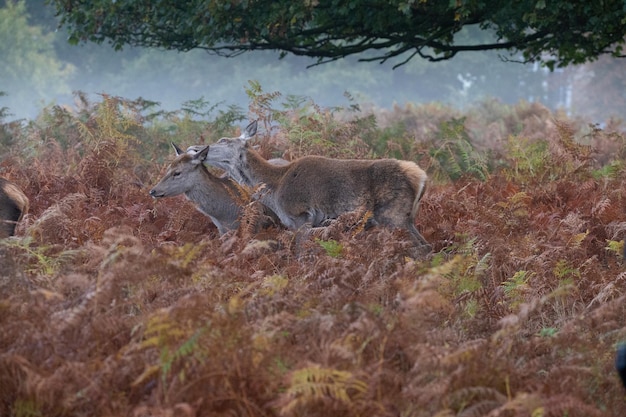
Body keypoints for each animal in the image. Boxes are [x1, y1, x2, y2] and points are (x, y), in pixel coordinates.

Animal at [185, 120, 428, 250]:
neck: (275, 188)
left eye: (223, 140)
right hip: (407, 218)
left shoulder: (300, 216)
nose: (193, 148)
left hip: (393, 216)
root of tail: (421, 177)